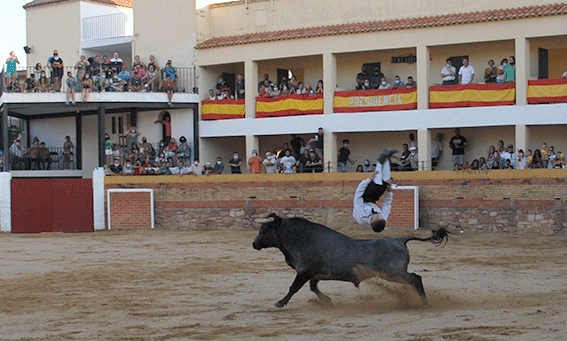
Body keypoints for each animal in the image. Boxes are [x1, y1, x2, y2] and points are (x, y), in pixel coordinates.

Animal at [252, 212, 448, 306]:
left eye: (264, 230)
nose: (254, 244)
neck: (302, 239)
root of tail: (400, 240)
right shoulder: (313, 274)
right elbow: (313, 287)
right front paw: (327, 301)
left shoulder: (304, 271)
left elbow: (294, 287)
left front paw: (280, 302)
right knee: (414, 279)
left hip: (393, 273)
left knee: (416, 278)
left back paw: (424, 303)